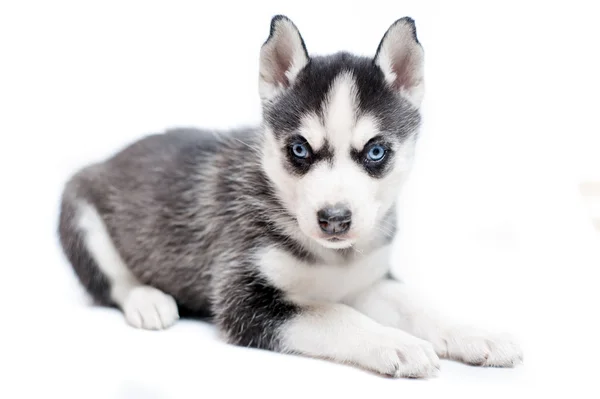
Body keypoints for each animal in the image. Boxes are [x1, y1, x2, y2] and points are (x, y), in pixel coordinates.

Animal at [58, 15, 524, 378]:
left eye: (375, 151)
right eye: (299, 149)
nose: (334, 219)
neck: (332, 258)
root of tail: (109, 158)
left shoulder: (367, 280)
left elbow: (419, 306)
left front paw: (475, 333)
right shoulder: (243, 299)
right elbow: (335, 314)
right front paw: (395, 342)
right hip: (78, 210)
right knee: (112, 281)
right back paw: (148, 300)